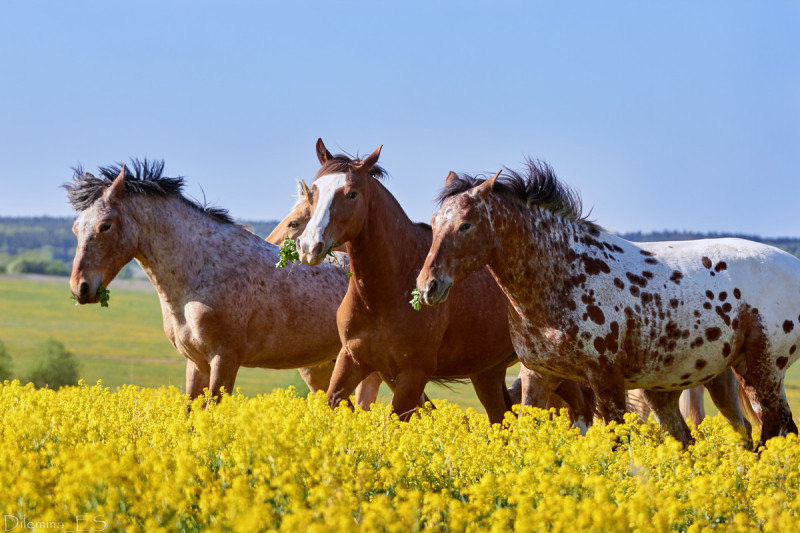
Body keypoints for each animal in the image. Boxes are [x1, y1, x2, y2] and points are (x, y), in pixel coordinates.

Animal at [67, 160, 354, 402]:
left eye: (105, 225)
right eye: (76, 228)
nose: (80, 288)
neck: (200, 270)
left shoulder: (224, 360)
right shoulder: (196, 363)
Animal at [416, 161, 796, 444]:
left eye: (466, 225)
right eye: (434, 223)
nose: (428, 286)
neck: (564, 276)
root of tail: (793, 264)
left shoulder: (606, 381)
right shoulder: (537, 376)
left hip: (763, 372)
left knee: (772, 431)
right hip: (701, 381)